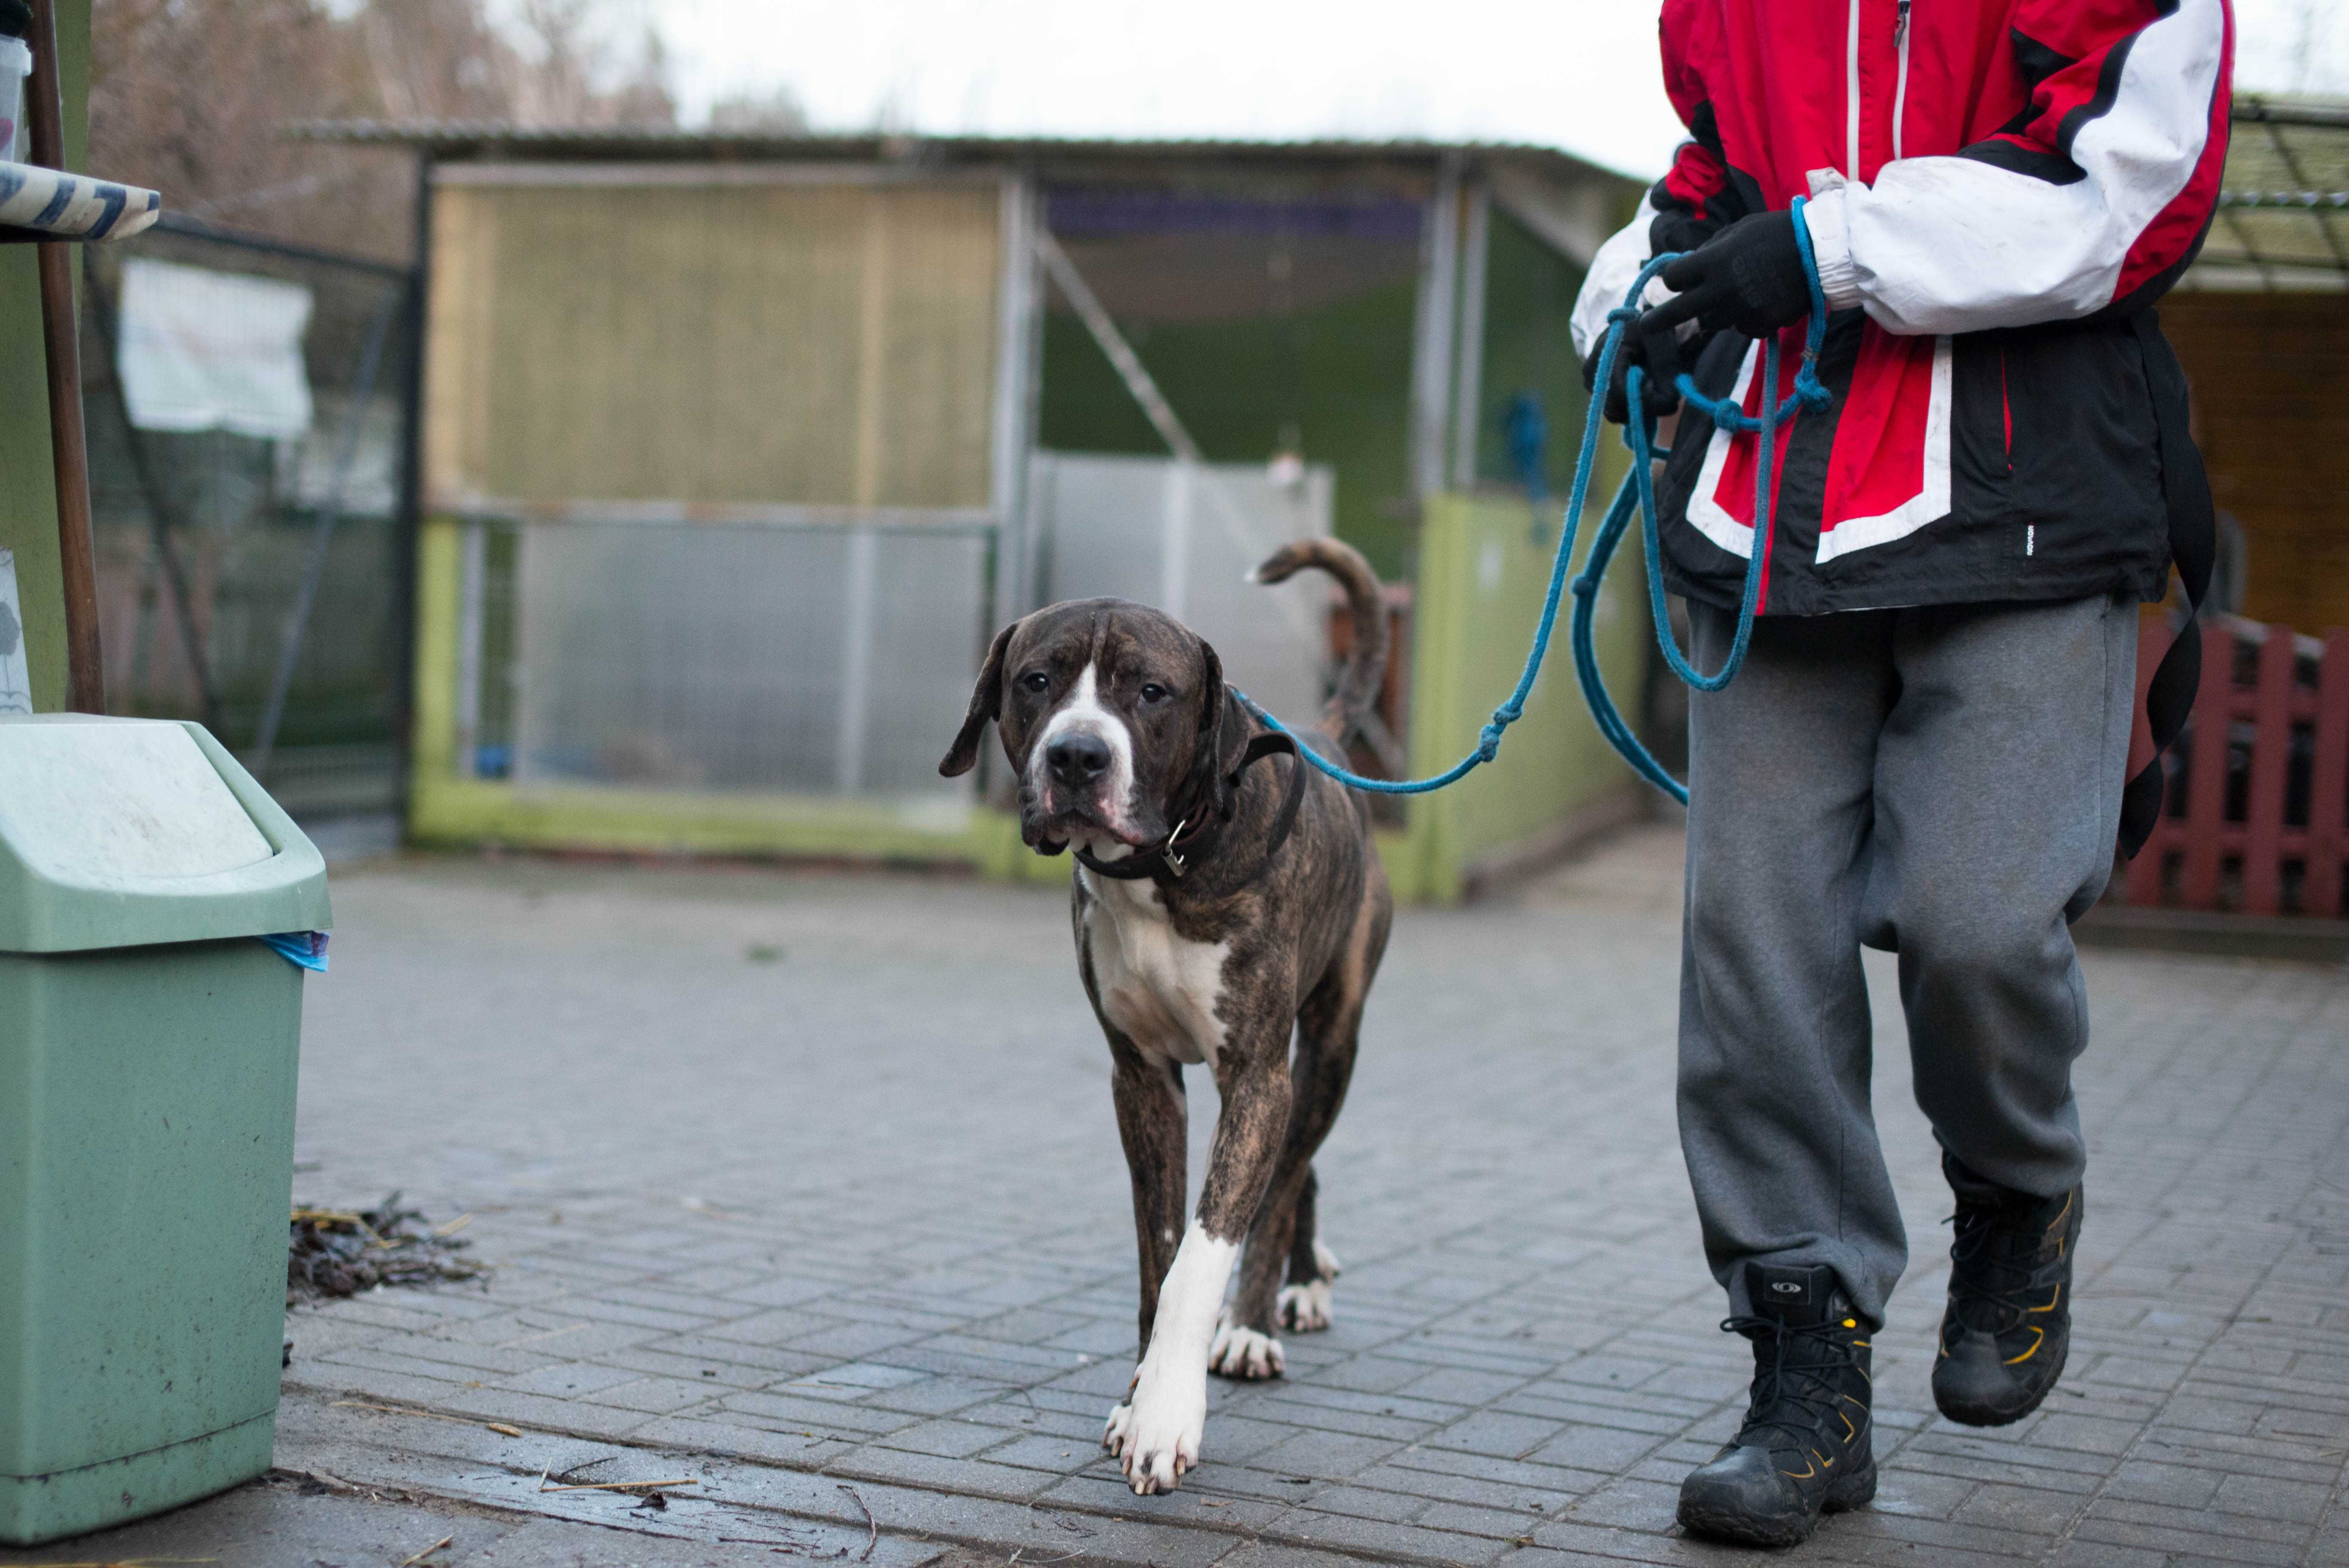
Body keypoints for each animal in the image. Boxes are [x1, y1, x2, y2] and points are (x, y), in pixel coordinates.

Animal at [939, 540, 1390, 1493]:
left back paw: (1259, 1317)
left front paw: (1166, 1415)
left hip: (1330, 1043)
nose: (1077, 757)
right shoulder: (1141, 1077)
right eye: (1035, 680)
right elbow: (1159, 1247)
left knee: (1291, 1170)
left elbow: (1204, 1252)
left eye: (1151, 690)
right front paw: (1138, 1392)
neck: (1163, 864)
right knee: (1300, 1166)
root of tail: (1327, 732)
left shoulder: (1255, 1077)